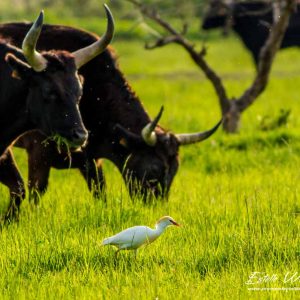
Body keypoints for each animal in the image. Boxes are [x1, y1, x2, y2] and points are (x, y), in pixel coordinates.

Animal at [0, 21, 220, 209]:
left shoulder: (90, 160)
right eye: (154, 169)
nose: (155, 208)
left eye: (174, 170)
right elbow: (35, 194)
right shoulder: (38, 154)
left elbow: (100, 192)